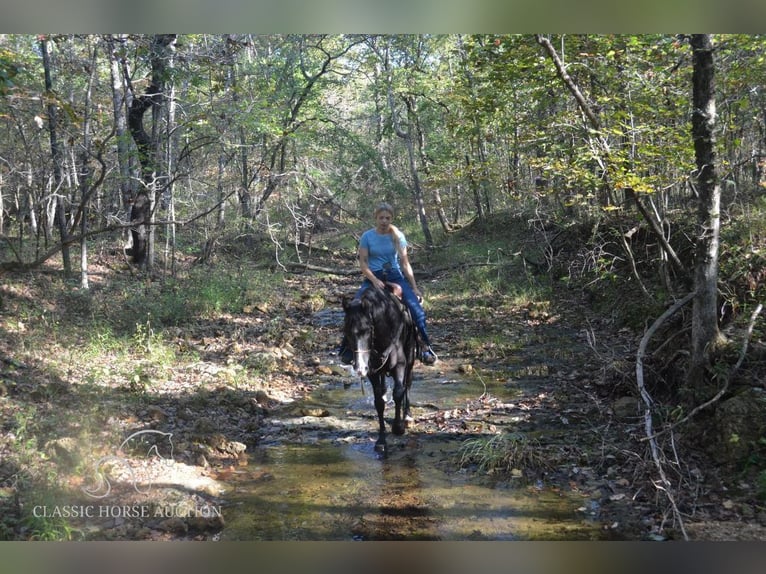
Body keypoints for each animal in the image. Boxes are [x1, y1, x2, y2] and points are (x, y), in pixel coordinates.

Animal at [344, 286, 420, 452]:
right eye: (347, 331)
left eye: (367, 329)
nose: (360, 368)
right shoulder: (372, 371)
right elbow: (379, 402)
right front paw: (381, 440)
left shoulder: (400, 365)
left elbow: (398, 392)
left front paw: (398, 428)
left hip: (410, 358)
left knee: (408, 384)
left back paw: (407, 416)